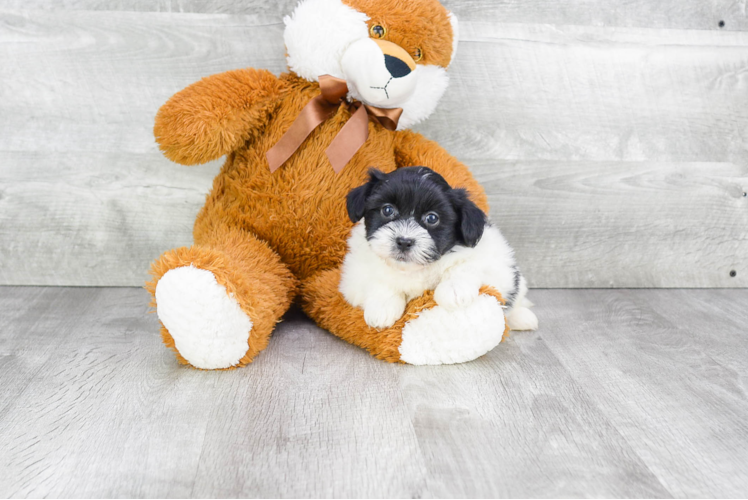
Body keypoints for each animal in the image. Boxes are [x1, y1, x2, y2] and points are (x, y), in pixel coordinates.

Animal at [338, 168, 536, 330]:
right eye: (387, 210)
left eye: (432, 218)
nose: (404, 241)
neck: (412, 270)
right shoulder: (354, 275)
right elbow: (378, 280)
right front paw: (381, 307)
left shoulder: (493, 255)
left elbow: (468, 264)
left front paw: (454, 289)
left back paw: (523, 318)